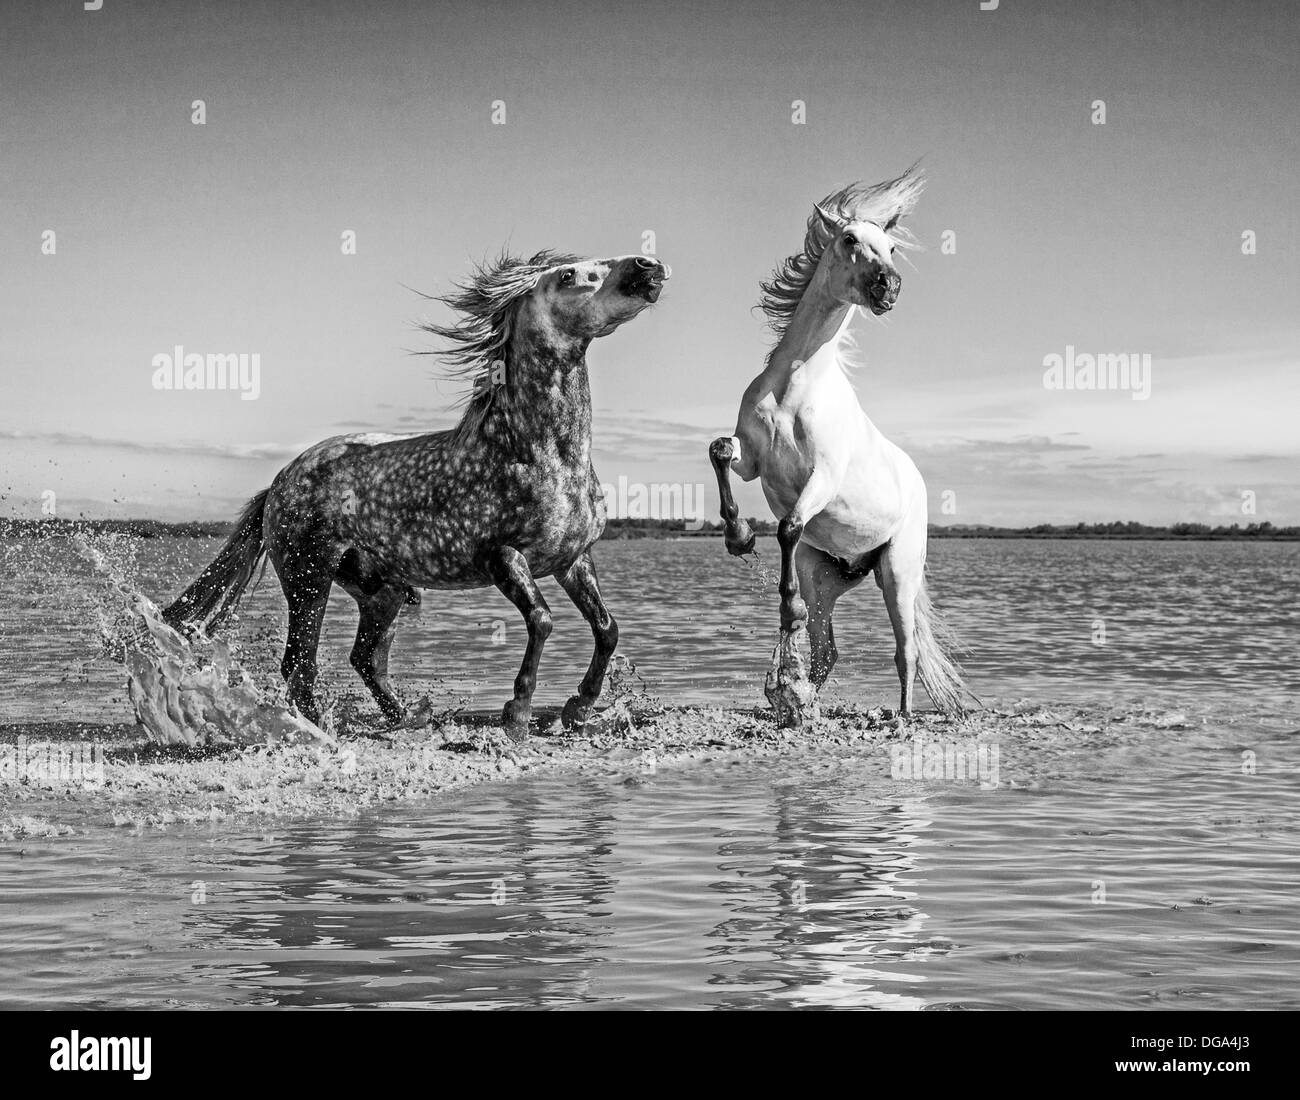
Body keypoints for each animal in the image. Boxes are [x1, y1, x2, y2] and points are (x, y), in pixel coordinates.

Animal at [163, 249, 670, 738]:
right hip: (308, 580)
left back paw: (408, 719)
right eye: (568, 276)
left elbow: (607, 629)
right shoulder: (503, 558)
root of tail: (279, 483)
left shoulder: (572, 559)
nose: (648, 265)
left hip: (382, 590)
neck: (542, 454)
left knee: (365, 659)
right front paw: (518, 715)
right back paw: (321, 731)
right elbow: (542, 621)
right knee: (300, 666)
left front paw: (578, 708)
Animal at [708, 167, 972, 725]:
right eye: (849, 239)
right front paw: (739, 537)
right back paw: (796, 698)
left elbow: (788, 526)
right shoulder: (753, 460)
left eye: (892, 248)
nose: (888, 287)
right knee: (826, 650)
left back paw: (901, 717)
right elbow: (719, 451)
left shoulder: (823, 478)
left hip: (897, 573)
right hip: (825, 575)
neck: (795, 385)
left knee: (906, 651)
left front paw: (785, 609)